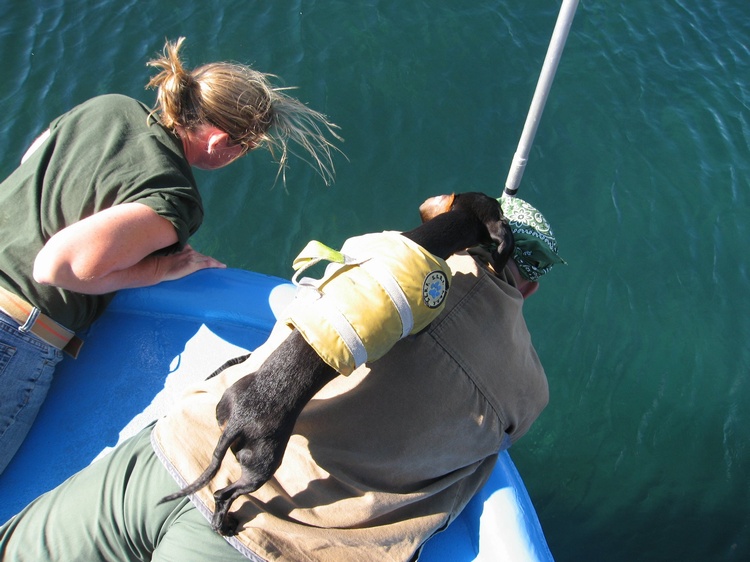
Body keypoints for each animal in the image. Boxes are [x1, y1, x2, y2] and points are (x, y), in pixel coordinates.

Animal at [161, 191, 516, 532]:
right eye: (499, 210)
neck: (425, 241)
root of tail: (239, 422)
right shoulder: (424, 321)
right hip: (264, 463)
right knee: (225, 493)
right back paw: (225, 523)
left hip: (229, 402)